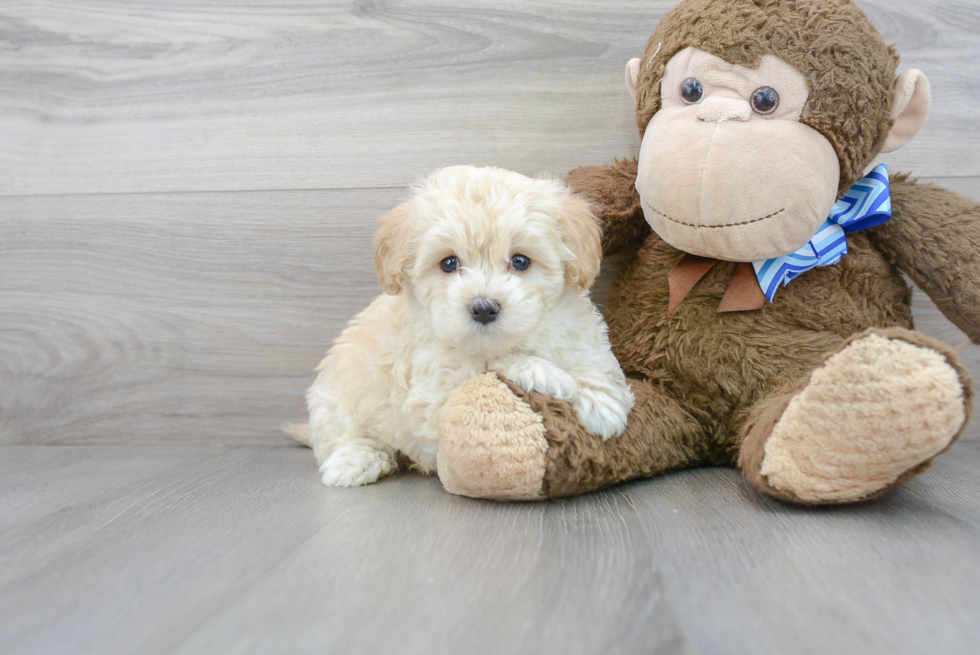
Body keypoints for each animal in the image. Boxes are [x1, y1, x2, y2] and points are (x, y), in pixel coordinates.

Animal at [302, 167, 632, 490]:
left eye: (520, 261)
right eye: (449, 263)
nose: (483, 308)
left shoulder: (581, 335)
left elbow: (594, 363)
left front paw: (599, 398)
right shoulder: (433, 390)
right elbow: (488, 367)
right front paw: (544, 373)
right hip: (335, 398)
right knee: (345, 437)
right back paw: (355, 461)